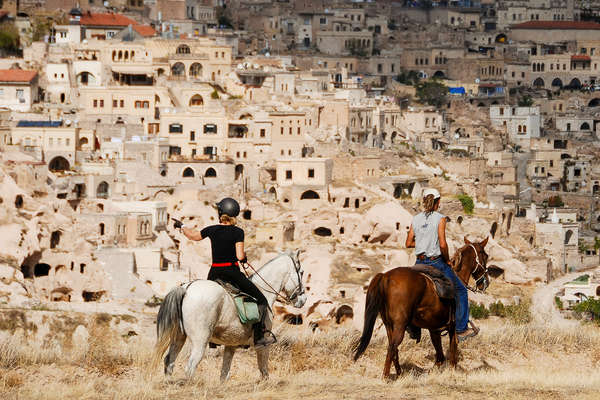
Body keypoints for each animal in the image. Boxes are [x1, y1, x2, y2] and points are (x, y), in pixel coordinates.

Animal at [155, 252, 308, 380]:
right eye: (301, 272)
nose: (303, 299)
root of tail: (187, 287)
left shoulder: (231, 344)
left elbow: (225, 373)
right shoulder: (263, 344)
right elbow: (263, 369)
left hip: (179, 337)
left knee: (169, 361)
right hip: (200, 340)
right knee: (191, 366)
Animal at [354, 238, 490, 378]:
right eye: (485, 255)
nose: (485, 282)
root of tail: (385, 276)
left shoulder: (434, 330)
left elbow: (440, 356)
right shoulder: (452, 327)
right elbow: (453, 355)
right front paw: (452, 373)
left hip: (388, 325)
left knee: (394, 349)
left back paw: (399, 373)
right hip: (400, 325)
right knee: (392, 347)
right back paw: (386, 377)